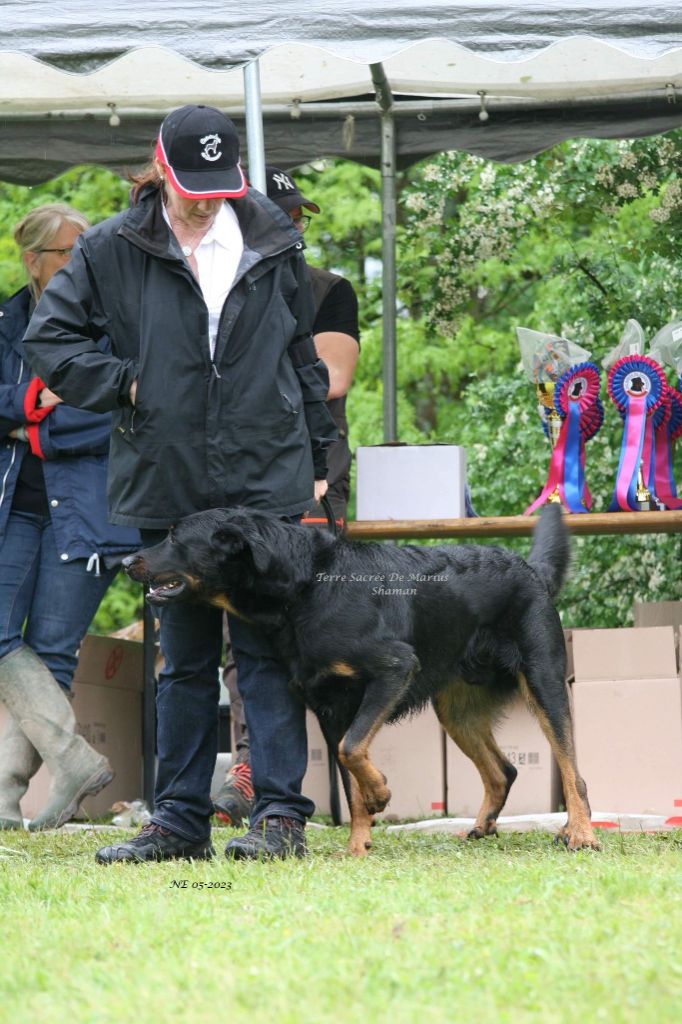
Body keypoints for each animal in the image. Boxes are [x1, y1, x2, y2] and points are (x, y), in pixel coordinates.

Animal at [124, 503, 598, 856]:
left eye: (174, 538)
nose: (127, 560)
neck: (307, 587)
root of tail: (531, 570)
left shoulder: (394, 668)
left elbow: (353, 750)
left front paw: (380, 795)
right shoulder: (327, 706)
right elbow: (348, 775)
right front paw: (358, 841)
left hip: (543, 681)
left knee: (573, 769)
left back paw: (580, 833)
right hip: (457, 710)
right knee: (503, 771)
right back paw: (484, 827)